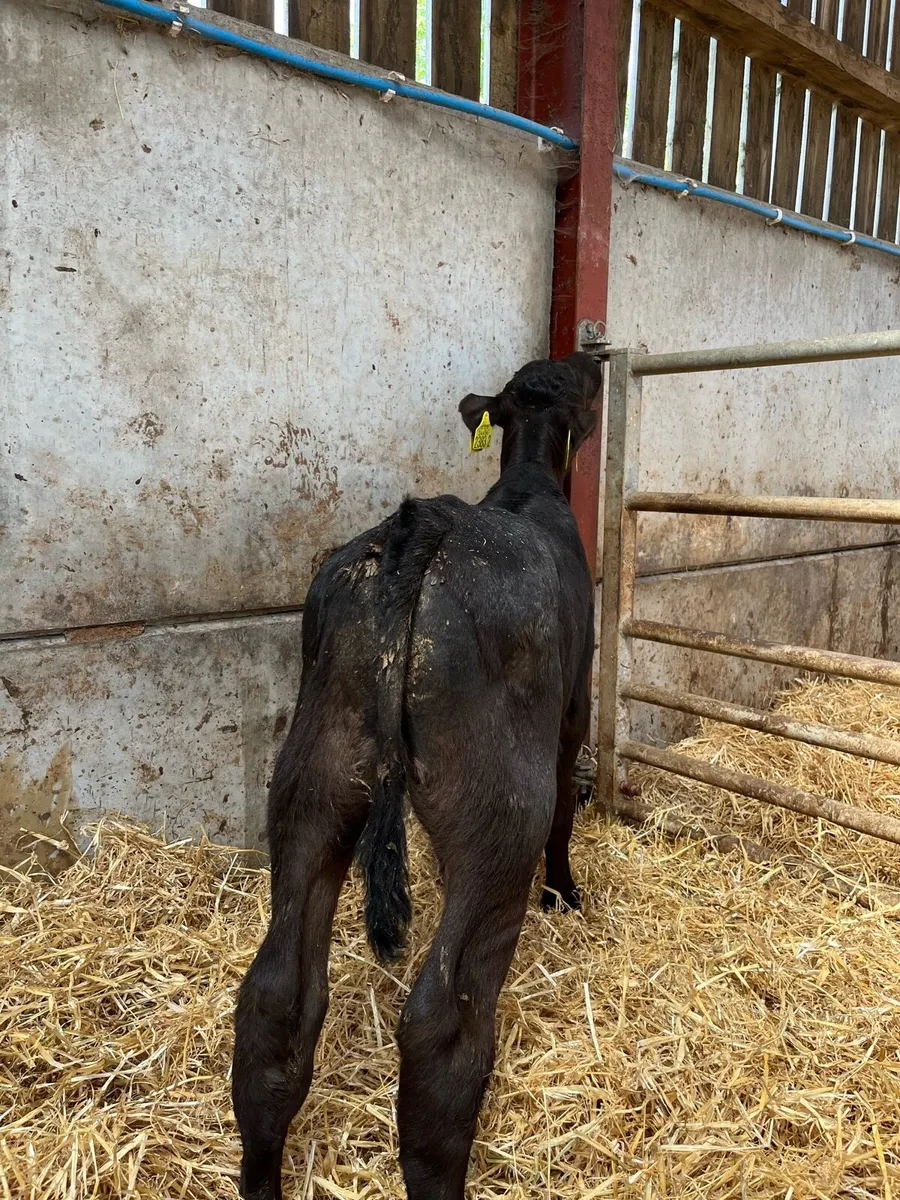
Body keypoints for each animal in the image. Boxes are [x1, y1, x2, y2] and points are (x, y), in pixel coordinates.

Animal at [232, 352, 603, 1200]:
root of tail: (423, 528)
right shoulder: (575, 707)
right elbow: (569, 808)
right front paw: (566, 893)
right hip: (500, 810)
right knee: (444, 1023)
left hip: (314, 777)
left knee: (275, 995)